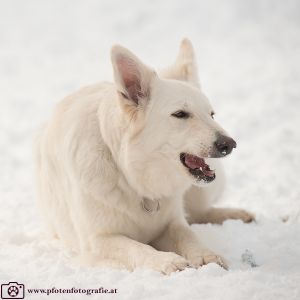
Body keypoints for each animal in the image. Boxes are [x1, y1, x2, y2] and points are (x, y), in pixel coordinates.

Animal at [34, 39, 253, 274]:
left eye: (211, 114)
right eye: (180, 114)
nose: (230, 144)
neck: (131, 178)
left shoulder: (171, 222)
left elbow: (187, 234)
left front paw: (206, 255)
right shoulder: (98, 240)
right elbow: (136, 248)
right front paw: (167, 260)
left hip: (201, 191)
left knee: (199, 212)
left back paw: (236, 214)